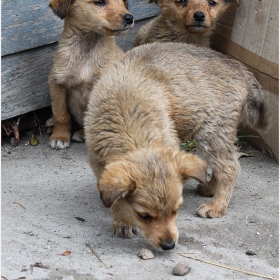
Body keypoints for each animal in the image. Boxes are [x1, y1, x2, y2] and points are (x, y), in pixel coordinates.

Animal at [48, 0, 134, 150]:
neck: (87, 48)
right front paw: (59, 137)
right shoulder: (57, 83)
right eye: (100, 2)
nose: (130, 18)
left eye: (123, 2)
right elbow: (61, 115)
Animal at [85, 42, 270, 249]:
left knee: (229, 167)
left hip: (211, 132)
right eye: (144, 216)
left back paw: (216, 206)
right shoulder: (98, 161)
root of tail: (242, 71)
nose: (169, 245)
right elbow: (117, 198)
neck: (127, 120)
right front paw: (123, 220)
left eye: (177, 210)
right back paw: (209, 188)